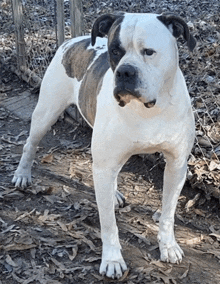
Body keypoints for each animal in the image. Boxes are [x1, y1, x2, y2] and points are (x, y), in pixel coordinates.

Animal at [12, 12, 196, 278]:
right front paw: (112, 259)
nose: (125, 72)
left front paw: (168, 246)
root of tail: (75, 40)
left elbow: (168, 213)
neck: (147, 110)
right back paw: (22, 174)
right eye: (115, 51)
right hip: (46, 112)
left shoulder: (176, 165)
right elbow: (108, 223)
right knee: (30, 144)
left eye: (149, 52)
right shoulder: (105, 166)